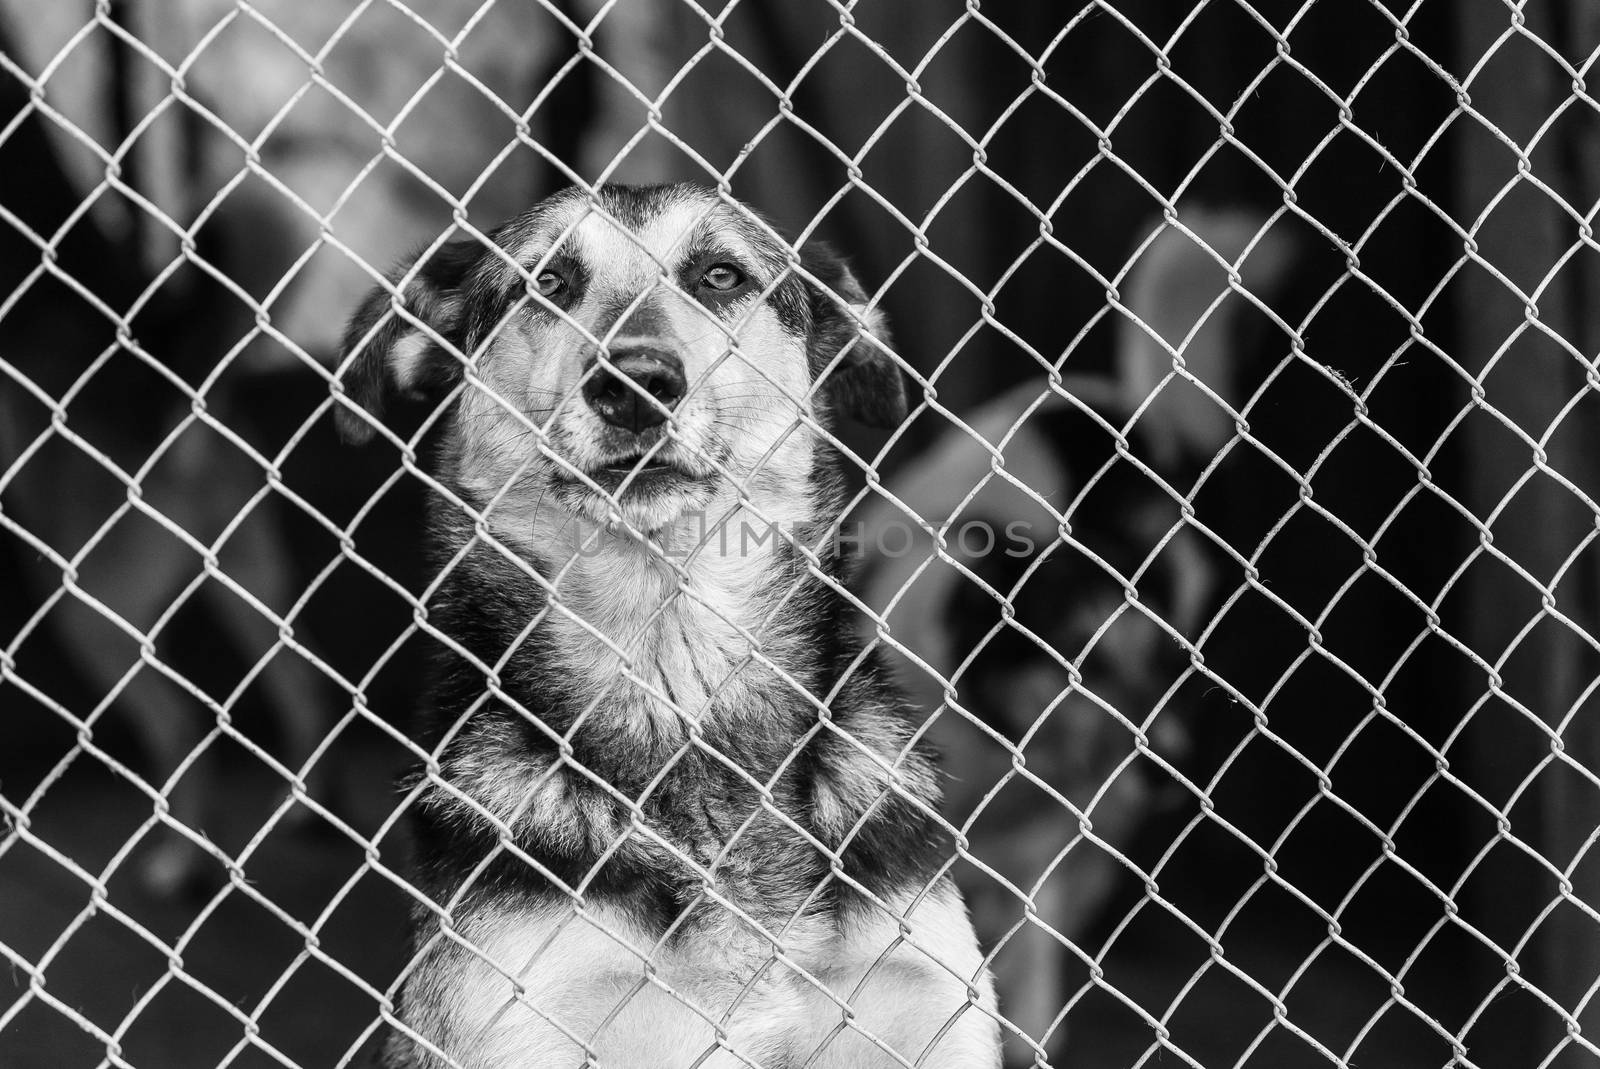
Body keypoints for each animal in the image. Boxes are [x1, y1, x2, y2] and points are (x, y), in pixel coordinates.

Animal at [336, 179, 998, 1062]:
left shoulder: (925, 1001)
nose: (636, 382)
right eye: (548, 282)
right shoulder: (527, 1015)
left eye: (720, 276)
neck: (672, 668)